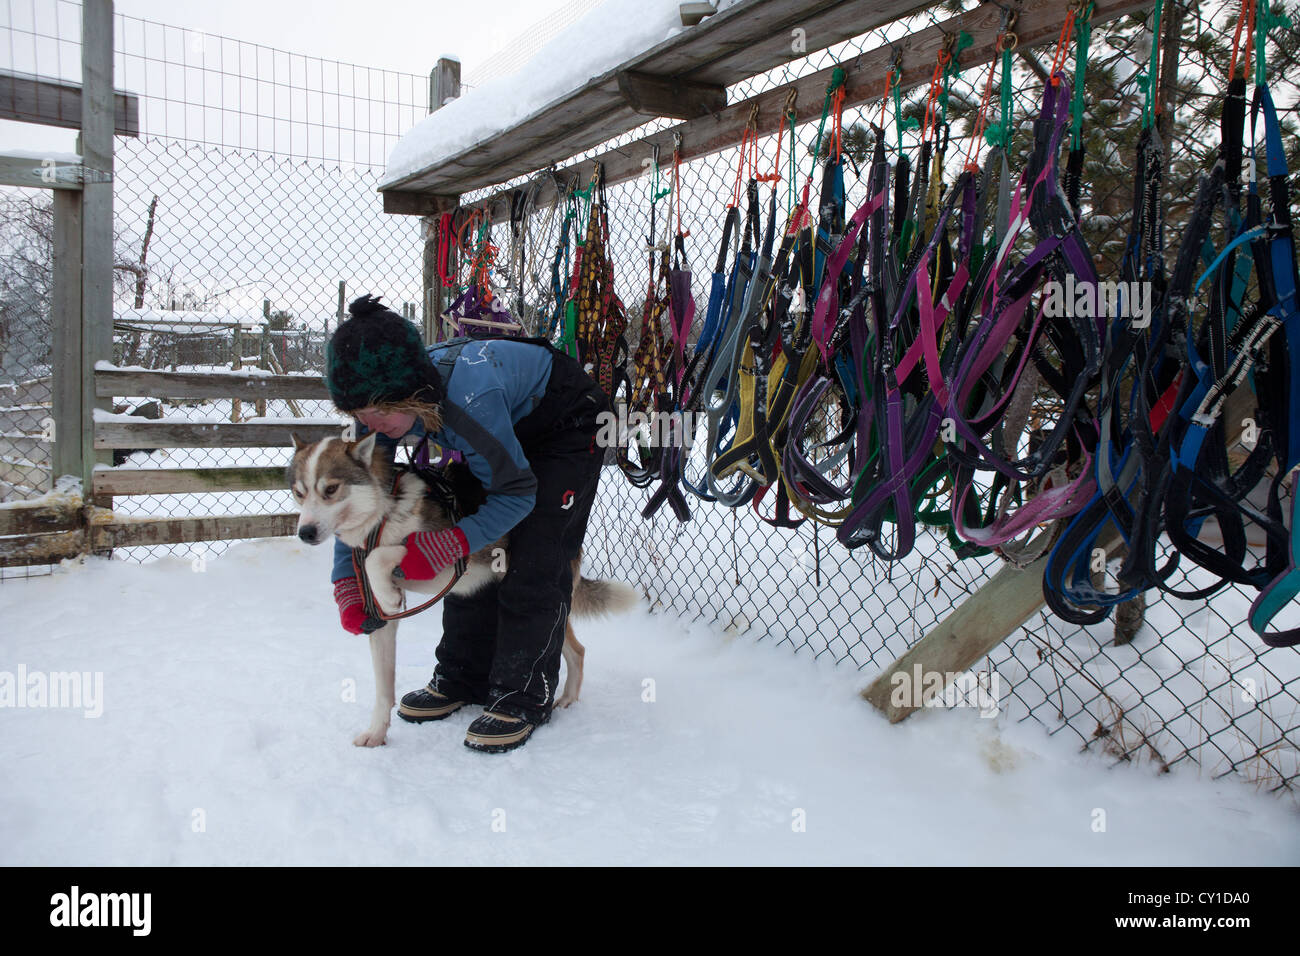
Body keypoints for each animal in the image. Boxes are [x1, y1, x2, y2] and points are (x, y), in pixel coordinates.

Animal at [287, 431, 637, 749]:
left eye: (330, 489)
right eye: (299, 493)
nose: (305, 532)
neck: (382, 516)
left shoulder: (440, 553)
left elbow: (386, 556)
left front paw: (387, 586)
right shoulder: (382, 622)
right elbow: (382, 689)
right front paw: (376, 733)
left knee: (575, 649)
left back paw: (561, 701)